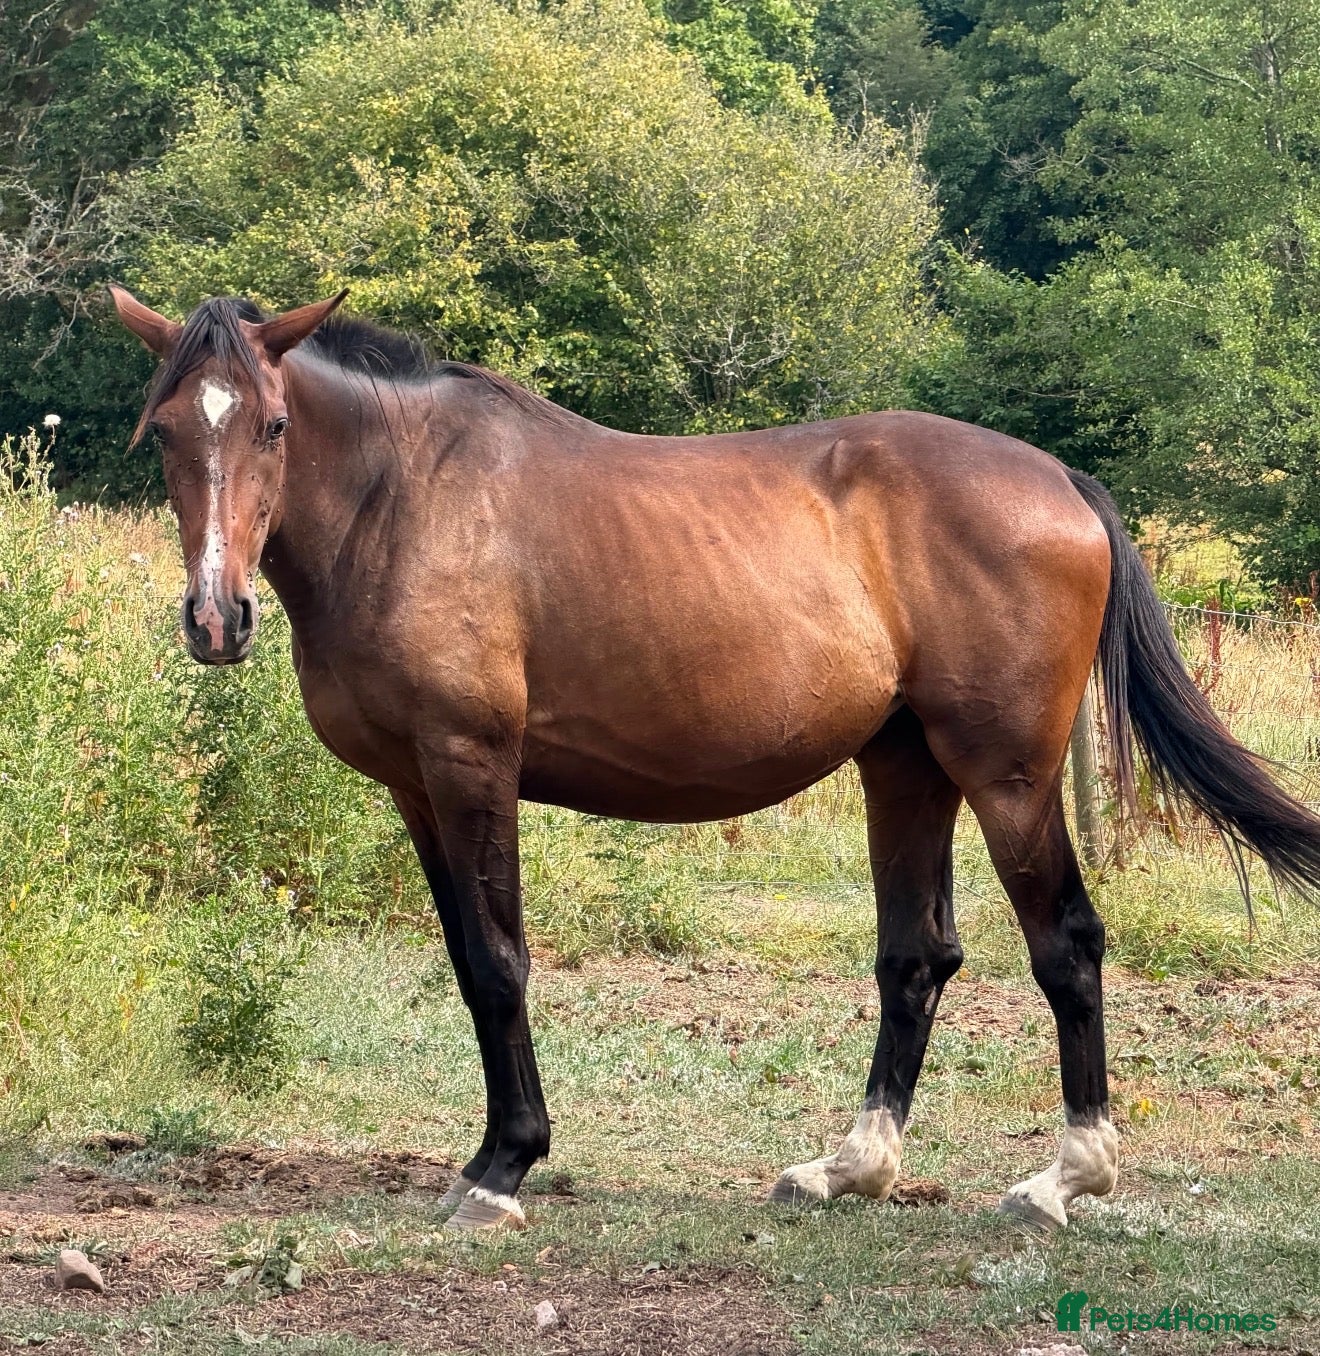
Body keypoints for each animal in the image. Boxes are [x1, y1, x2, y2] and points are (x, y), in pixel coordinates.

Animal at [110, 285, 1320, 1232]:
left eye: (273, 426)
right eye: (164, 431)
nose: (216, 618)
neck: (402, 500)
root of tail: (1063, 483)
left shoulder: (471, 767)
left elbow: (500, 965)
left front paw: (504, 1168)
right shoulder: (417, 789)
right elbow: (466, 962)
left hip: (1008, 773)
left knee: (1065, 944)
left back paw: (1065, 1178)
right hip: (906, 766)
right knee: (916, 957)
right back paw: (851, 1167)